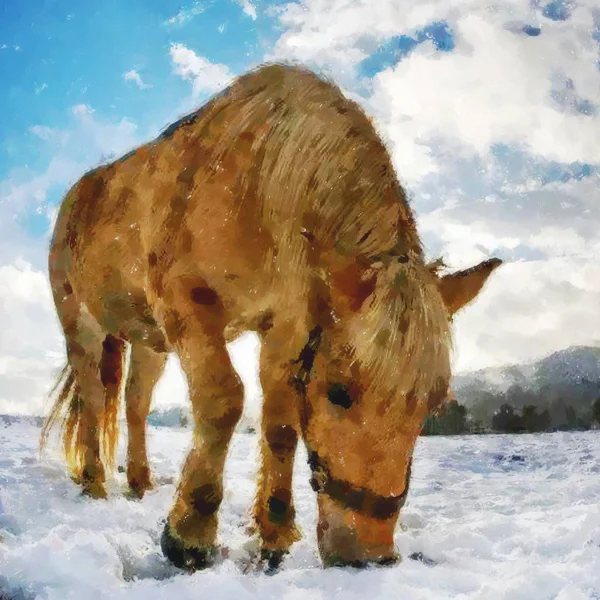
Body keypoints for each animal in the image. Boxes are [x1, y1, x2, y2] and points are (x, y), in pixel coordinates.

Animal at [41, 62, 502, 572]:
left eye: (431, 406)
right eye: (339, 392)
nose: (369, 555)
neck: (261, 185)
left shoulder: (288, 326)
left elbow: (281, 423)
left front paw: (274, 534)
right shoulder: (189, 306)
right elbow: (223, 401)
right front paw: (190, 535)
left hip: (149, 340)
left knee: (135, 402)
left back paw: (140, 483)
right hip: (81, 324)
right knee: (92, 396)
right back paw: (94, 483)